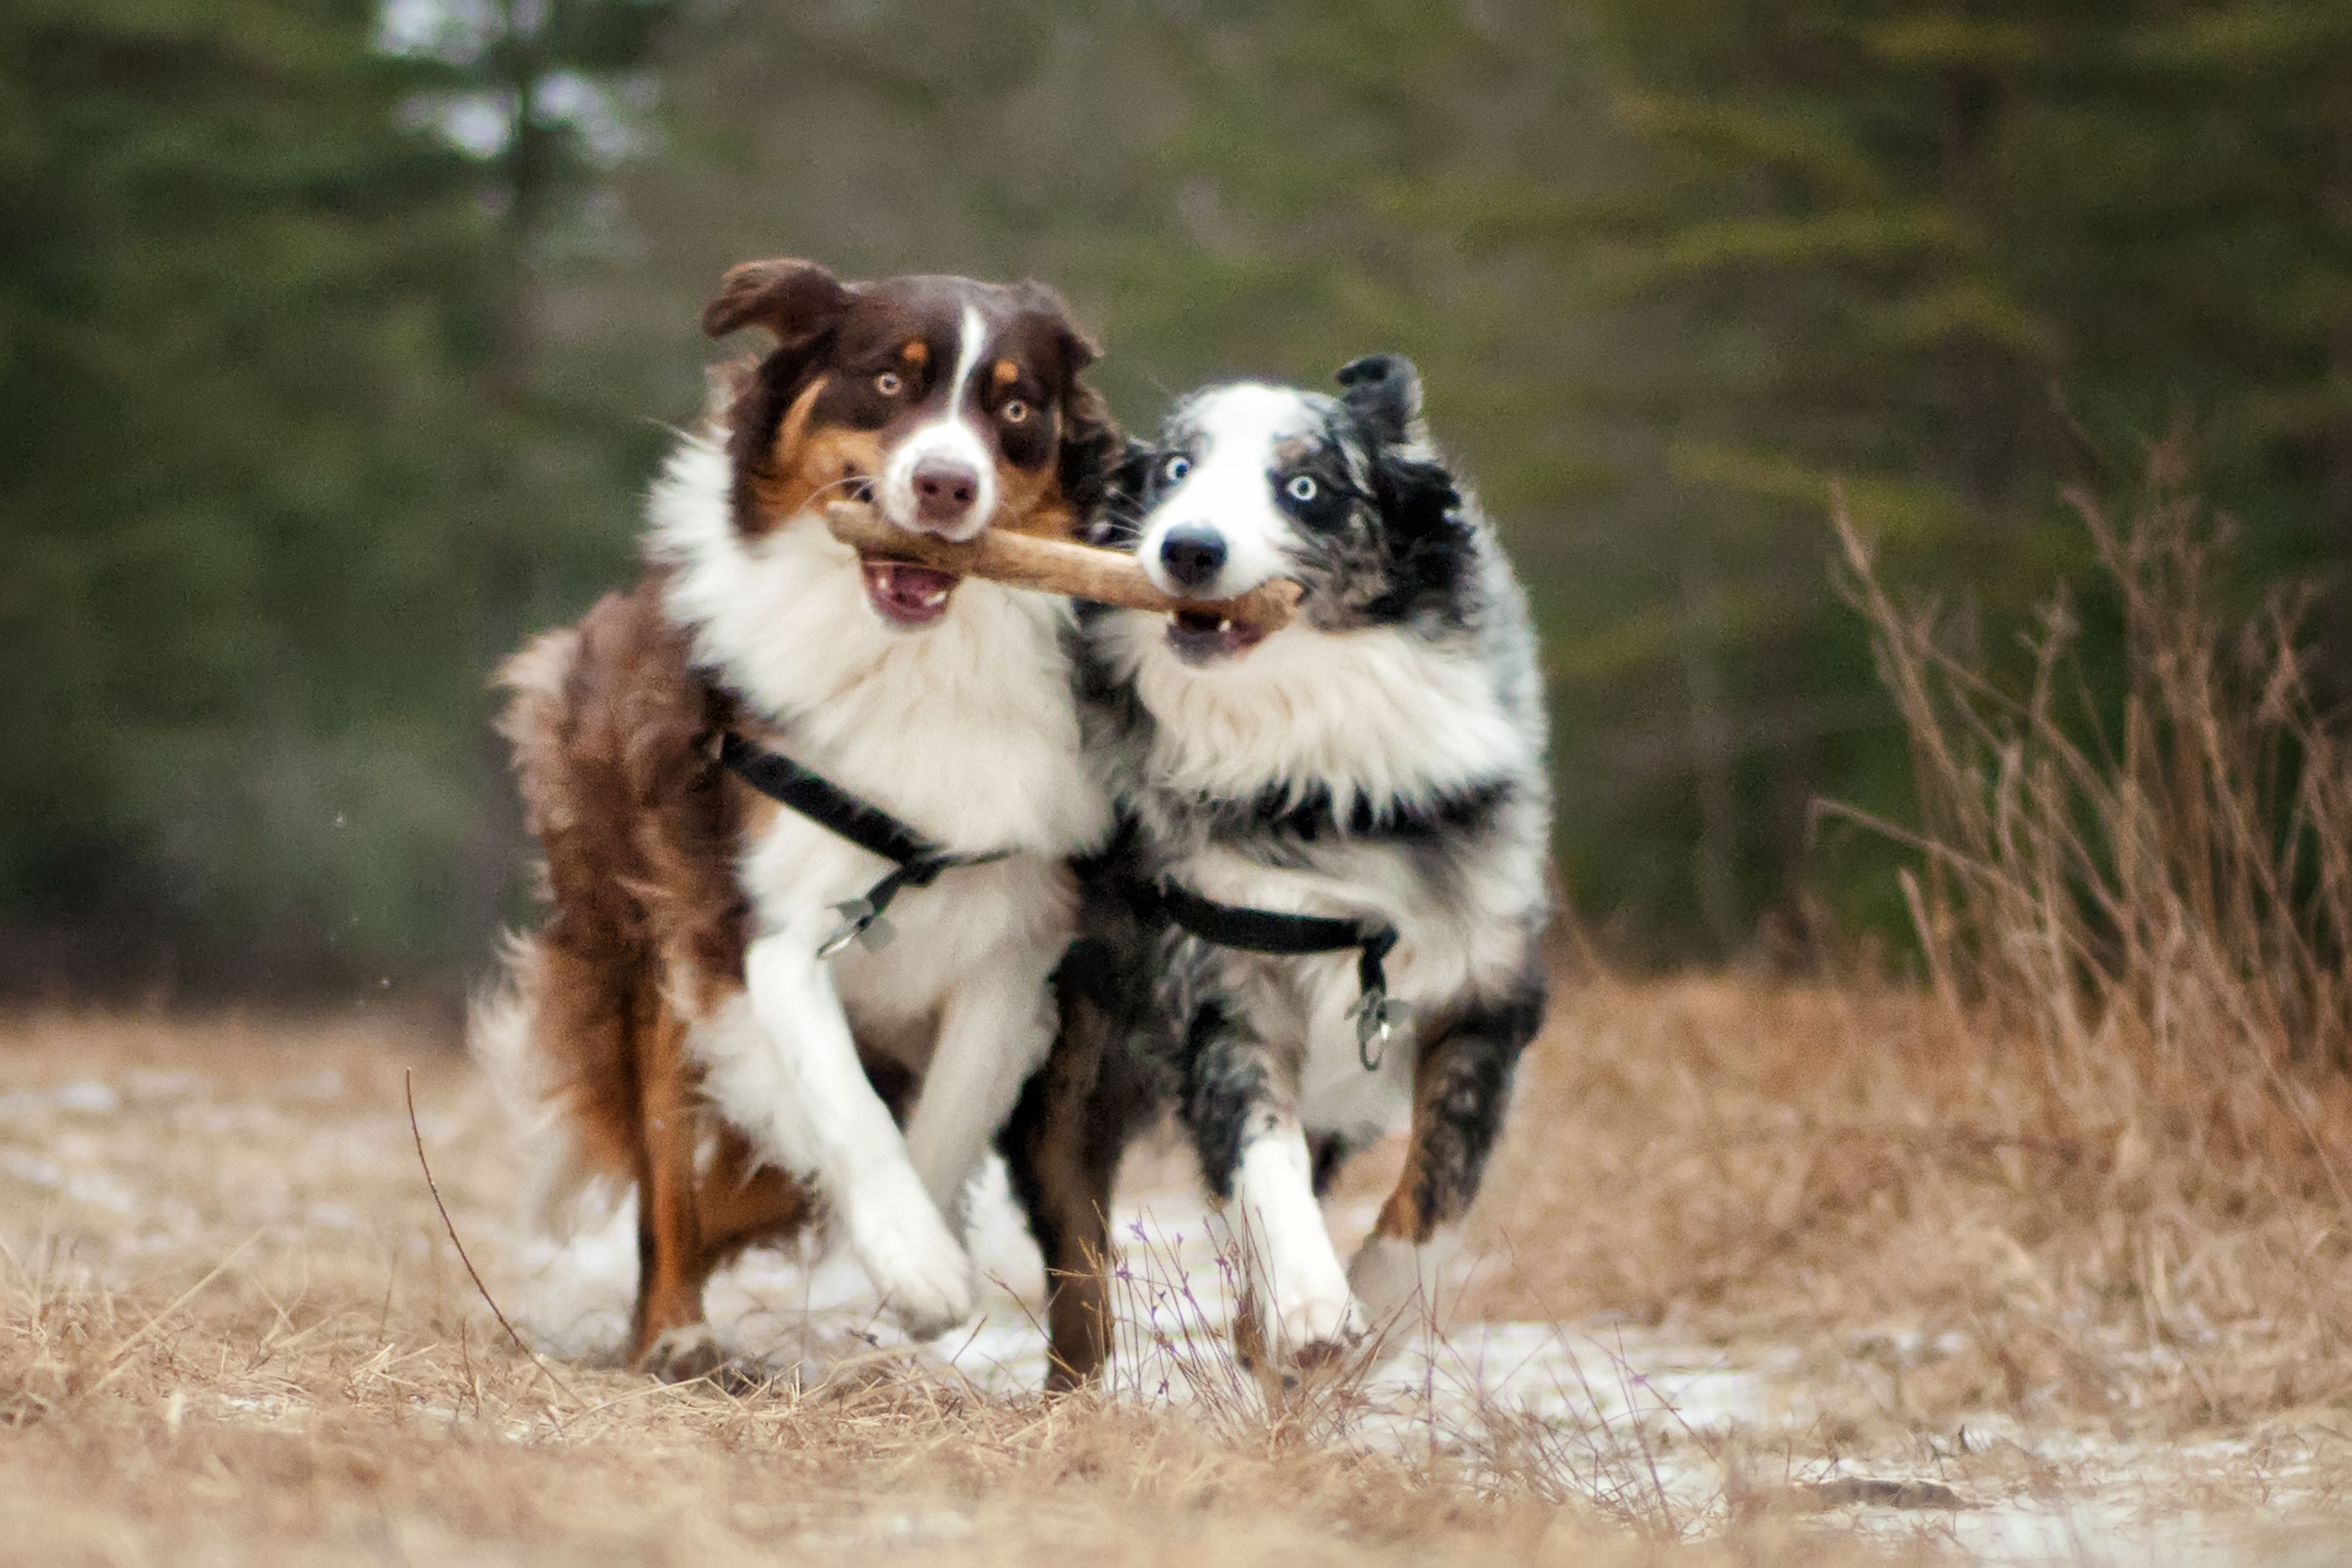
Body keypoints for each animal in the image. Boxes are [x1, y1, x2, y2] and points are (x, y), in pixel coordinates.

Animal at [475, 257, 1120, 1373]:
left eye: (1015, 407)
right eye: (891, 381)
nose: (947, 485)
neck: (909, 662)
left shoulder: (1017, 937)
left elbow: (944, 1113)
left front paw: (919, 1264)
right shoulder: (760, 932)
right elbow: (839, 1104)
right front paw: (915, 1259)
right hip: (647, 948)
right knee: (670, 1185)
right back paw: (676, 1332)